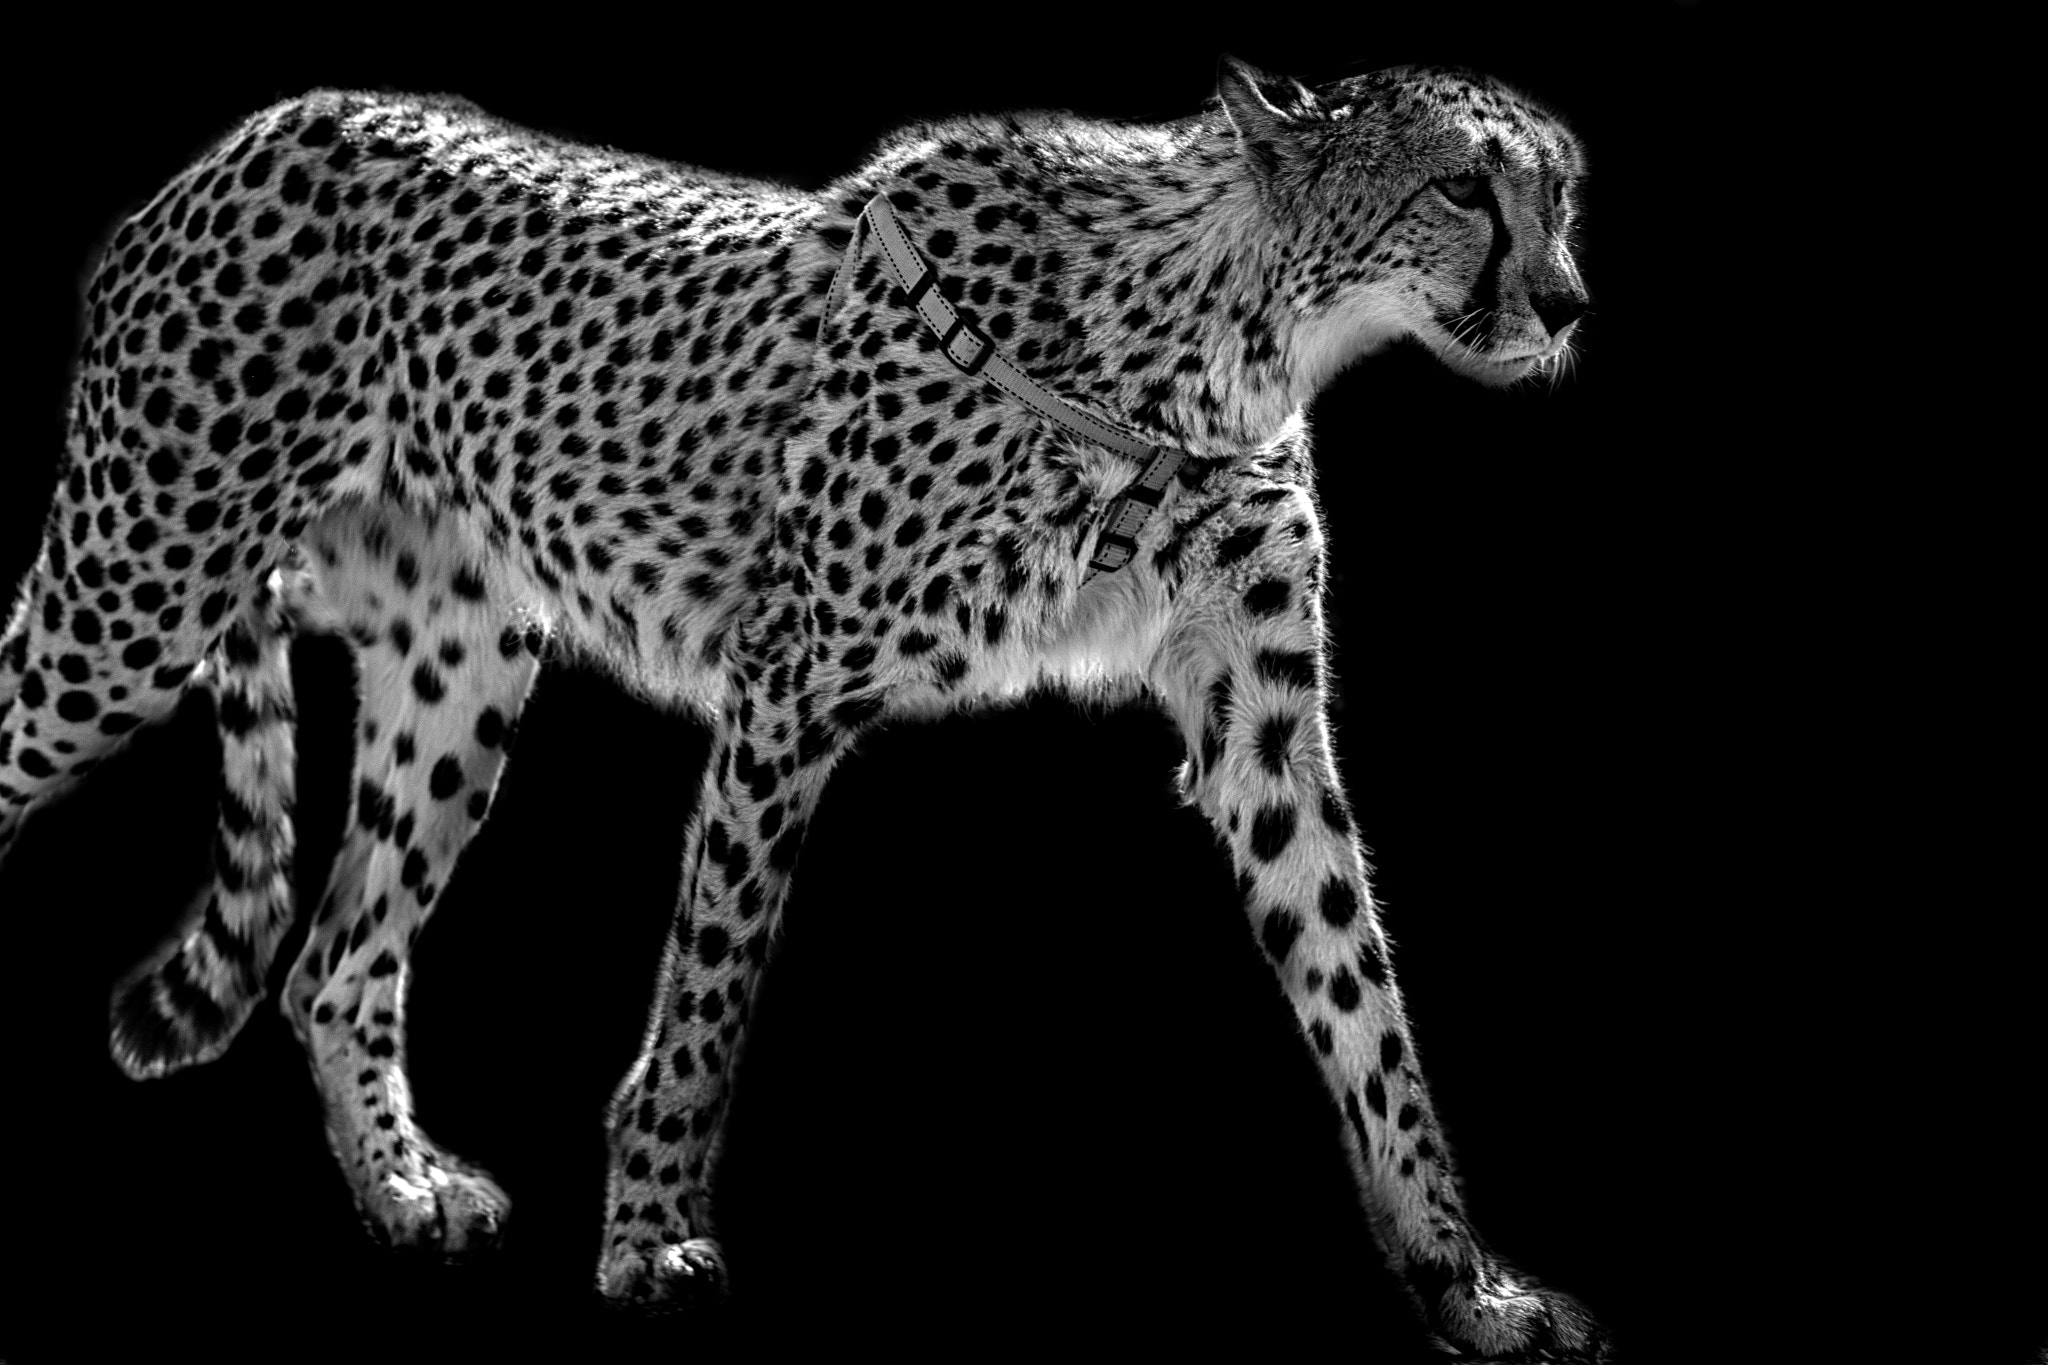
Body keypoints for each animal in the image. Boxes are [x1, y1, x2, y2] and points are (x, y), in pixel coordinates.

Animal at [0, 56, 1601, 1358]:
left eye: (1561, 193)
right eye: (1463, 185)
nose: (1569, 303)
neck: (1228, 330)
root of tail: (265, 127)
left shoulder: (1259, 720)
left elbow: (1360, 997)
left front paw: (1468, 1287)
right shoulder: (787, 684)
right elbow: (709, 989)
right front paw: (648, 1242)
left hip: (456, 664)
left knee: (333, 963)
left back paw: (400, 1189)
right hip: (135, 587)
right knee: (23, 697)